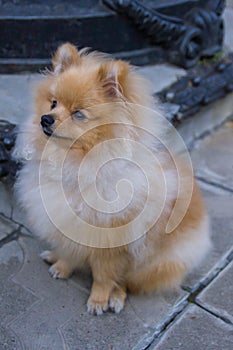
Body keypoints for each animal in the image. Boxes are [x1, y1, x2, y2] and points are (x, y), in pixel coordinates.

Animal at [15, 42, 210, 316]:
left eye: (78, 114)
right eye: (53, 103)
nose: (46, 119)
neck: (75, 164)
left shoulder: (111, 244)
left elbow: (104, 276)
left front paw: (98, 300)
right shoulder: (69, 225)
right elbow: (70, 252)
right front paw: (62, 266)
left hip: (153, 263)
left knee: (127, 282)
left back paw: (116, 298)